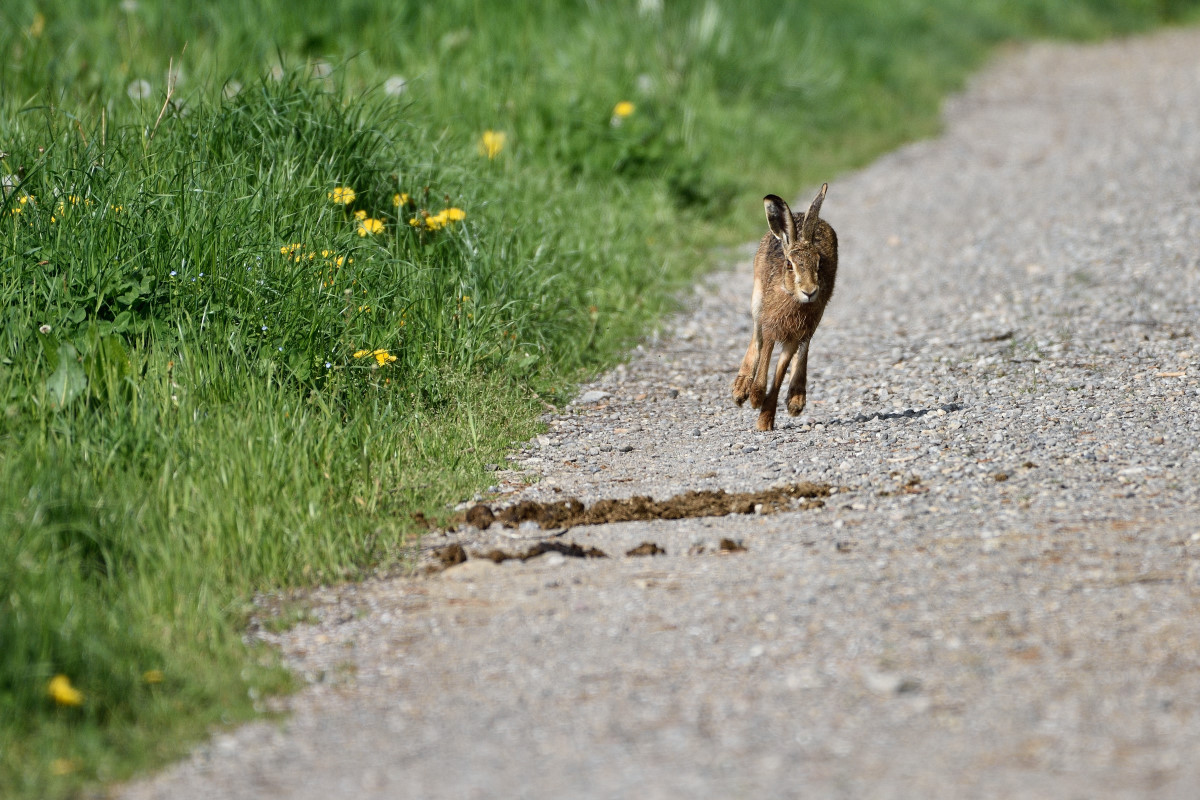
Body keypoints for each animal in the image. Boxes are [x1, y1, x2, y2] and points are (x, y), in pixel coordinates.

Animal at [731, 183, 838, 431]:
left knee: (805, 348)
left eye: (819, 263)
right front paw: (755, 397)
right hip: (757, 299)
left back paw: (796, 400)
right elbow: (765, 355)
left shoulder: (793, 337)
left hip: (816, 318)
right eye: (789, 265)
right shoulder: (771, 325)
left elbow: (780, 372)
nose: (810, 291)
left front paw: (764, 419)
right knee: (756, 337)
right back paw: (741, 389)